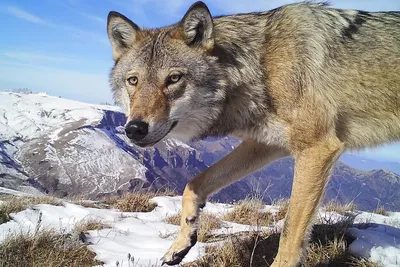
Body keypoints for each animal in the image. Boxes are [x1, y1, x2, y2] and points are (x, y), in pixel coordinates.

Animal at [106, 1, 400, 266]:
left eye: (174, 79)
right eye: (133, 81)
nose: (133, 129)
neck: (260, 66)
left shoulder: (317, 148)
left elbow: (290, 231)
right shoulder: (268, 145)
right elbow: (194, 184)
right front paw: (181, 243)